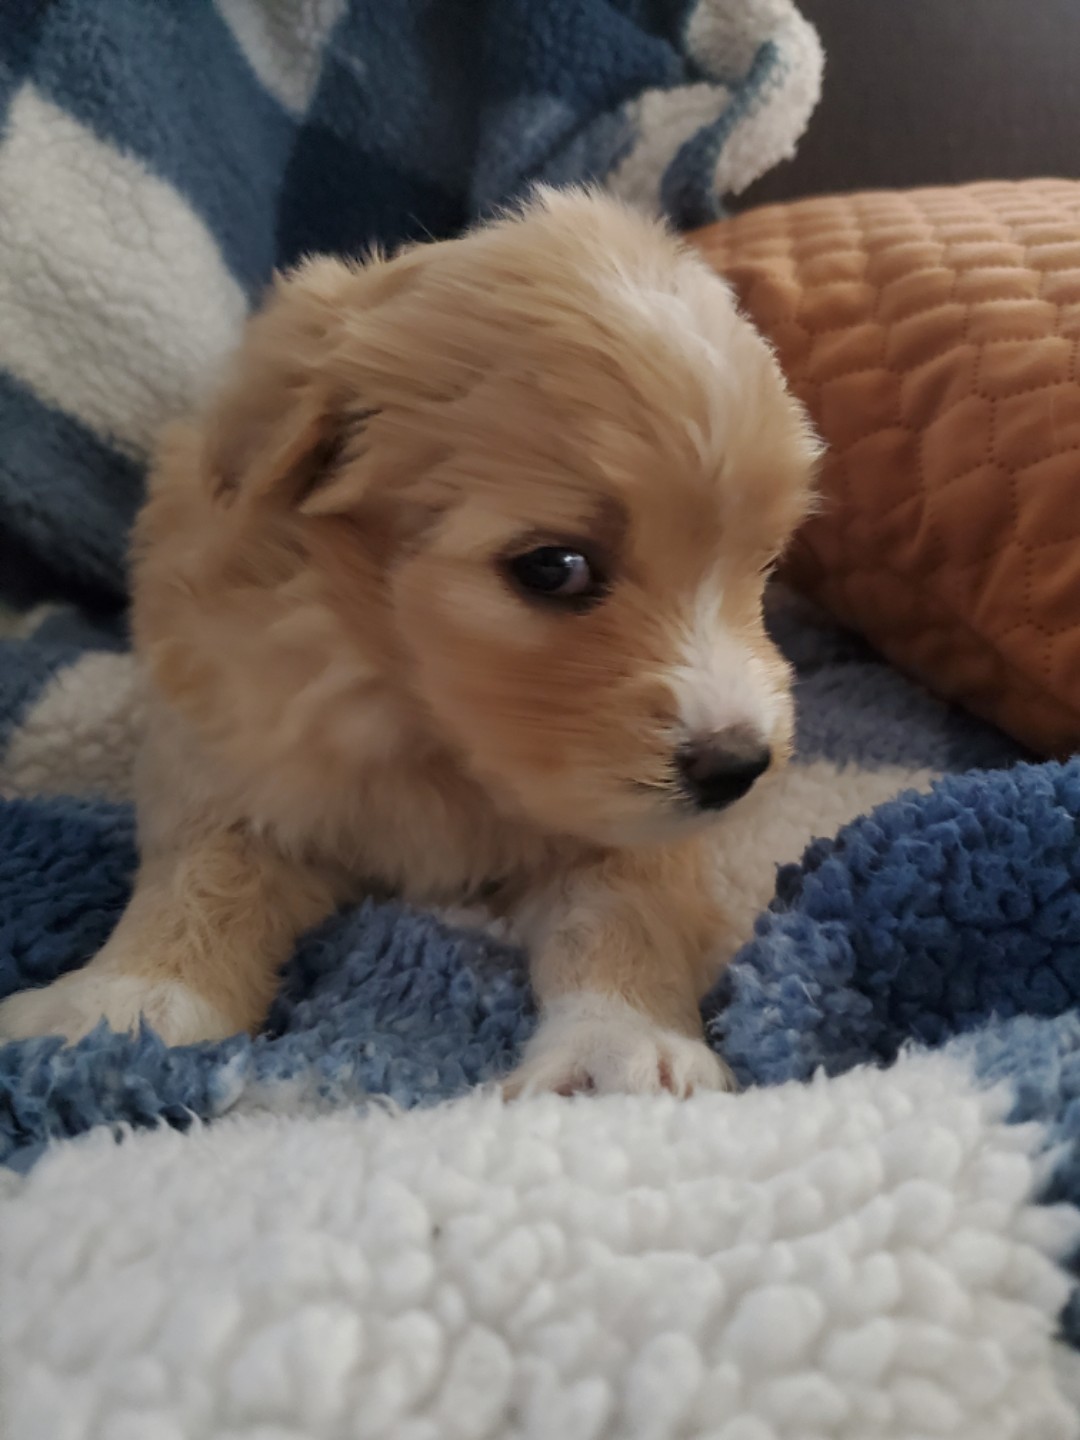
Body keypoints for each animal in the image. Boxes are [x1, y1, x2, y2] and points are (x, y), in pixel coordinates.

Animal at [0, 188, 817, 1088]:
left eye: (764, 562)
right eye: (555, 567)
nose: (739, 767)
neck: (418, 719)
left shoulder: (627, 834)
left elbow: (627, 914)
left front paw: (624, 1043)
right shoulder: (228, 755)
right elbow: (201, 878)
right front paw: (128, 1000)